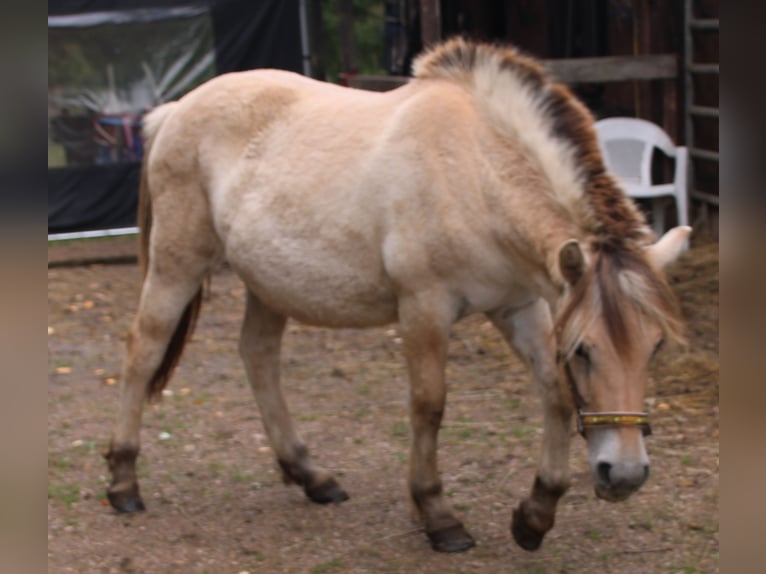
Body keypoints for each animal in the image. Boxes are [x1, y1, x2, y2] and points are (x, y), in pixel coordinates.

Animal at [106, 40, 688, 552]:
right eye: (584, 350)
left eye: (656, 347)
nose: (625, 473)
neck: (475, 169)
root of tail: (175, 111)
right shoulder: (424, 307)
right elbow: (429, 406)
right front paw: (437, 516)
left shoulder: (520, 305)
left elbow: (555, 395)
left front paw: (535, 514)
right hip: (177, 263)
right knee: (143, 349)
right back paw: (123, 481)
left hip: (266, 282)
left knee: (259, 357)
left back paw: (310, 474)